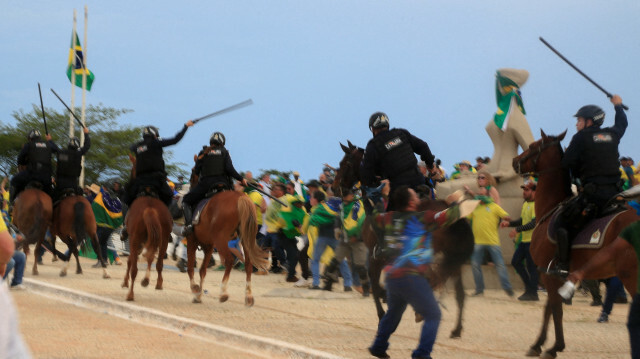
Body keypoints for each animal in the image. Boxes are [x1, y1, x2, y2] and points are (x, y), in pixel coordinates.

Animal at [185, 172, 268, 306]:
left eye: (192, 176)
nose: (191, 187)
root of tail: (241, 198)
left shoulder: (192, 240)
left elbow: (190, 268)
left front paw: (195, 289)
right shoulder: (209, 245)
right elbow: (202, 270)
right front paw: (198, 296)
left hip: (221, 240)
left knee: (229, 261)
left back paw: (223, 292)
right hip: (244, 239)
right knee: (248, 264)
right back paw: (248, 296)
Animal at [332, 142, 472, 338]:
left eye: (345, 163)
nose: (334, 187)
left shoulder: (377, 258)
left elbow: (375, 285)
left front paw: (382, 314)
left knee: (434, 280)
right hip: (451, 256)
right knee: (458, 293)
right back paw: (456, 329)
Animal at [512, 130, 636, 359]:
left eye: (533, 146)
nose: (515, 161)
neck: (550, 209)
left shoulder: (548, 273)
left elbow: (556, 310)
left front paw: (553, 347)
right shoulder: (552, 275)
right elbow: (549, 309)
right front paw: (540, 344)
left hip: (630, 275)